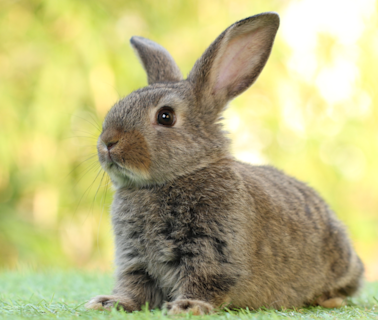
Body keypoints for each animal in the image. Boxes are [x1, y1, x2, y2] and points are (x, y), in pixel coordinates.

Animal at [85, 13, 364, 316]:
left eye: (165, 116)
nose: (108, 142)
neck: (176, 176)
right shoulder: (135, 259)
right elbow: (135, 288)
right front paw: (109, 303)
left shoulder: (213, 251)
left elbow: (203, 280)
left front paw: (187, 307)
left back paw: (329, 299)